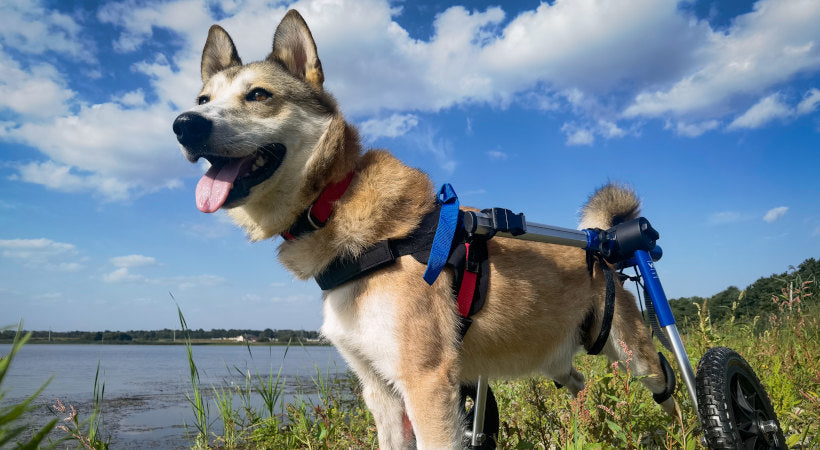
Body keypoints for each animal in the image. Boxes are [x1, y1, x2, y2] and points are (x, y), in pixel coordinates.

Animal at [173, 8, 680, 448]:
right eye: (203, 100)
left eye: (259, 95)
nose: (183, 125)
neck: (335, 200)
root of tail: (600, 245)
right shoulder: (379, 389)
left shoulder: (426, 381)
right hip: (554, 358)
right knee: (578, 385)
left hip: (634, 356)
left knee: (669, 392)